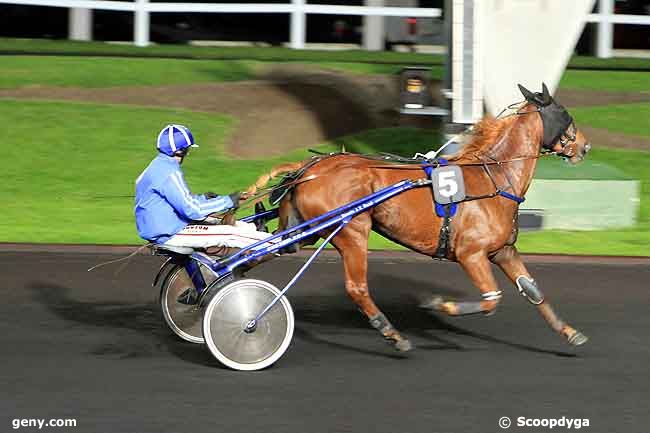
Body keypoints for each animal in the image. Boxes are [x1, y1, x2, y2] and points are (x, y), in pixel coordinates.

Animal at [246, 84, 588, 352]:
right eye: (565, 114)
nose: (584, 146)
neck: (495, 178)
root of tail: (311, 167)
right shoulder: (471, 254)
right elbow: (492, 299)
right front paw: (440, 304)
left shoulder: (503, 250)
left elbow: (533, 291)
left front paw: (571, 332)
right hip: (352, 231)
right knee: (356, 287)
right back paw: (391, 333)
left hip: (307, 229)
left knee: (264, 251)